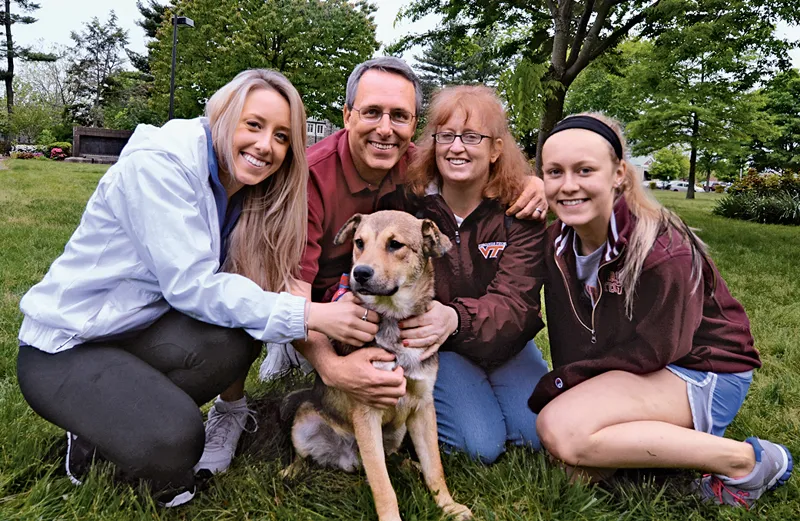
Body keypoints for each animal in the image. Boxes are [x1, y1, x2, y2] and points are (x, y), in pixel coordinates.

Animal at [282, 210, 472, 520]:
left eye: (395, 244)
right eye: (359, 242)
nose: (360, 273)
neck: (392, 319)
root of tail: (349, 459)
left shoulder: (423, 407)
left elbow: (435, 467)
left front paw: (448, 506)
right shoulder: (367, 411)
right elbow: (383, 485)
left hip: (398, 432)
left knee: (394, 459)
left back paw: (411, 466)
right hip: (304, 421)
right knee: (304, 455)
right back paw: (290, 472)